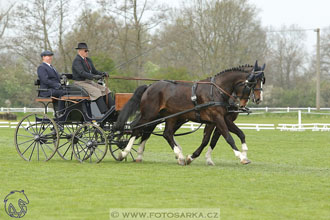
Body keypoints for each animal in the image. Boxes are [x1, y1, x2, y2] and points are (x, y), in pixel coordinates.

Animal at [116, 63, 262, 165]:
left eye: (263, 80)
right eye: (251, 84)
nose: (258, 100)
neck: (216, 90)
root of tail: (149, 86)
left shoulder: (220, 120)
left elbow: (225, 137)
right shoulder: (218, 118)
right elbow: (227, 137)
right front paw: (241, 157)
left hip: (169, 116)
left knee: (164, 133)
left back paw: (176, 155)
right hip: (150, 115)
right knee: (136, 129)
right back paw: (124, 153)